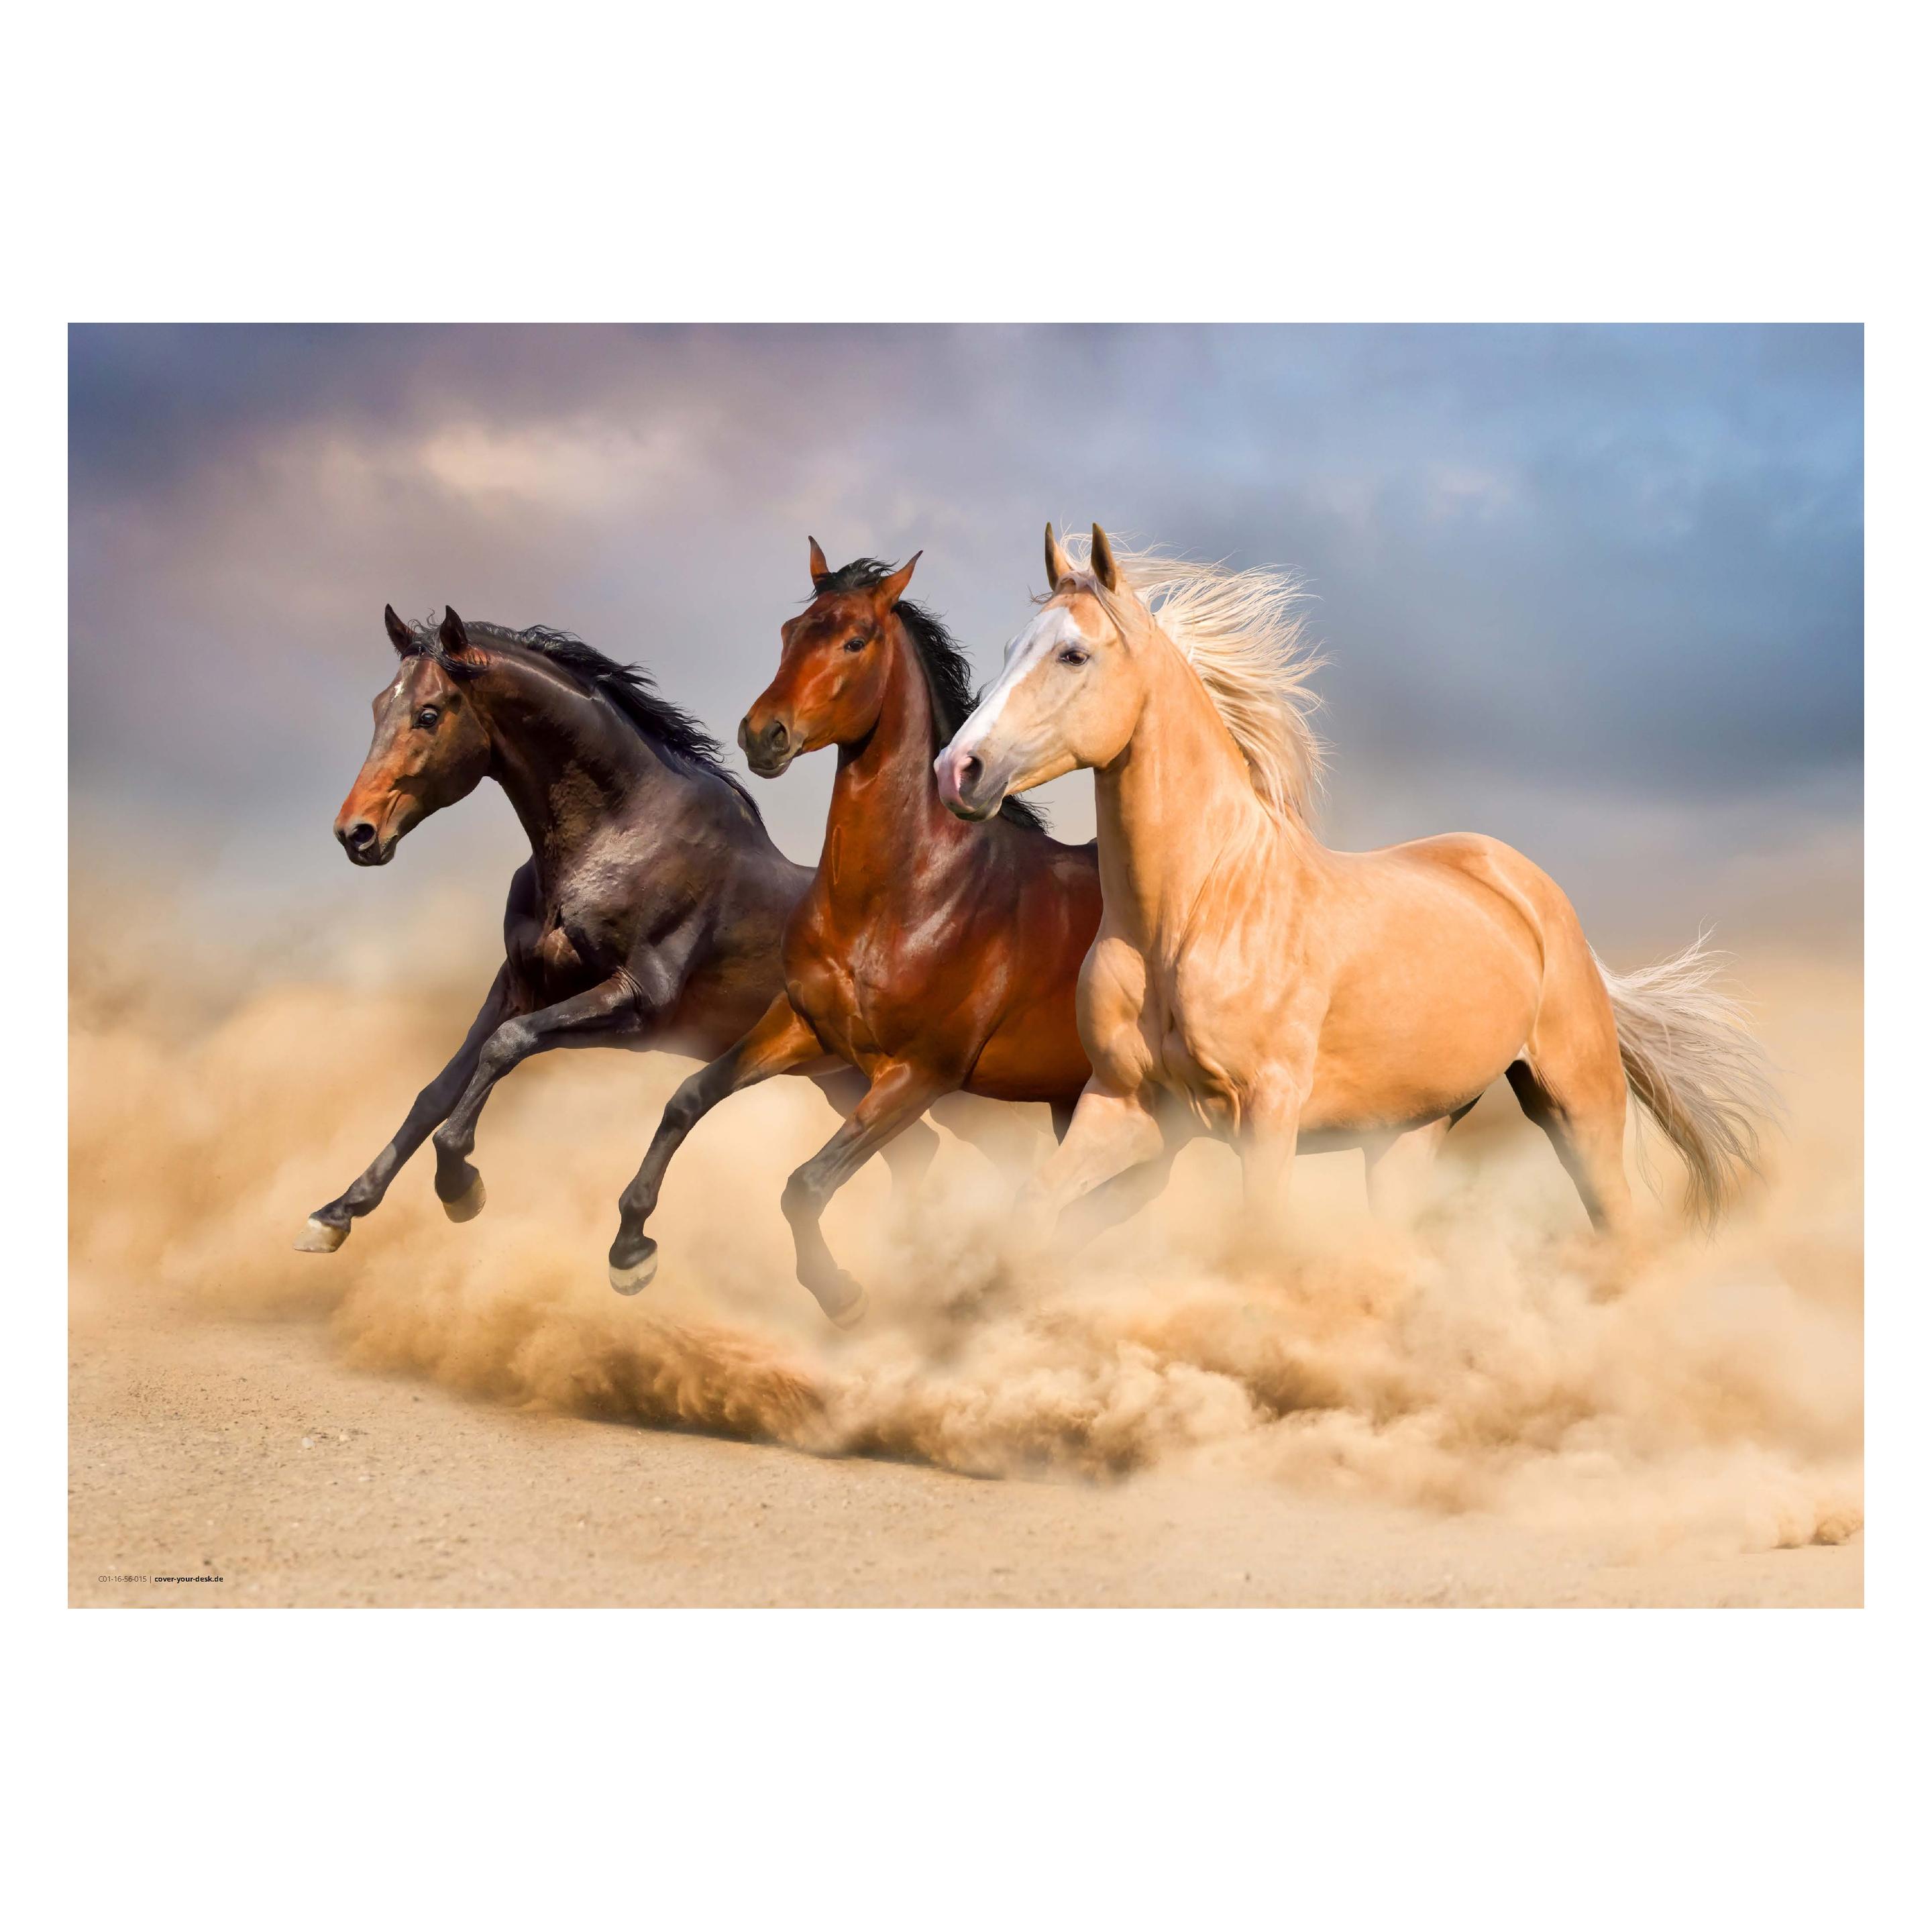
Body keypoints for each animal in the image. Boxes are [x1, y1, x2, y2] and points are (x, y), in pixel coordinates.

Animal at [296, 604, 978, 1261]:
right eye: (379, 706)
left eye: (429, 714)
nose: (356, 833)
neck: (617, 838)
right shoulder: (519, 984)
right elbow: (438, 1089)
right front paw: (336, 1214)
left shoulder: (636, 1003)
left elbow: (507, 1047)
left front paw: (460, 1185)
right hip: (846, 1080)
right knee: (913, 1152)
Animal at [606, 543, 1105, 1325]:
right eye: (790, 631)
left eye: (855, 640)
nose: (764, 733)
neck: (906, 898)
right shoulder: (806, 1028)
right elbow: (688, 1097)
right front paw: (630, 1251)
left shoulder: (918, 1075)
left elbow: (805, 1184)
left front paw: (842, 1294)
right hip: (1067, 1102)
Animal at [933, 522, 1779, 1250]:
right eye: (1012, 647)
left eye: (1073, 655)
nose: (958, 770)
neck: (1193, 913)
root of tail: (1529, 889)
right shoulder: (1125, 1107)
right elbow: (1036, 1206)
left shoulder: (1266, 1115)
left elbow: (1258, 1241)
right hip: (1407, 1136)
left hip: (1578, 1104)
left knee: (1619, 1225)